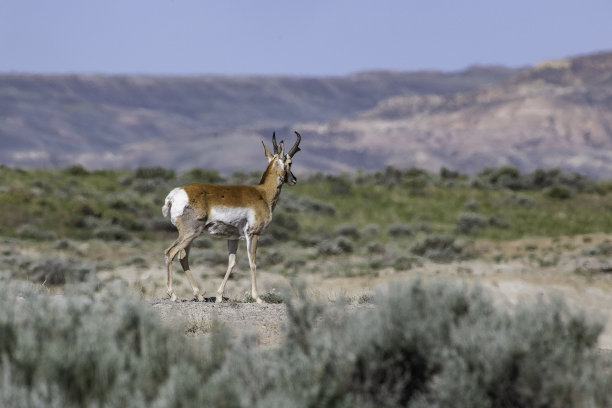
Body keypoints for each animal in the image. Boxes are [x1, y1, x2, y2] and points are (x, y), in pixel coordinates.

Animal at [160, 132, 298, 302]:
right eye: (290, 162)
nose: (294, 180)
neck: (262, 193)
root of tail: (175, 194)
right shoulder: (253, 235)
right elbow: (253, 263)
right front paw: (257, 298)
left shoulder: (233, 238)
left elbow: (231, 263)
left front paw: (219, 296)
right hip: (189, 234)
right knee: (170, 252)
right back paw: (173, 294)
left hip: (190, 237)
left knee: (182, 257)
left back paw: (199, 296)